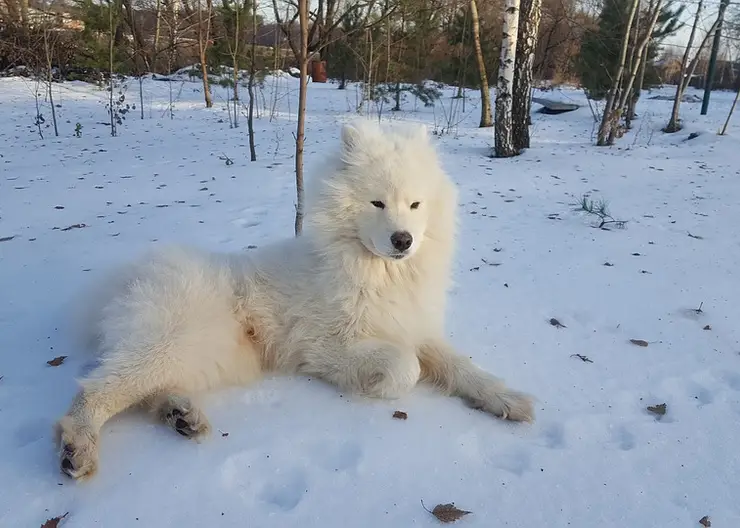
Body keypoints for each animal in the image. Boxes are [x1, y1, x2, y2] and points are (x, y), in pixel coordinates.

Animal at [55, 118, 536, 478]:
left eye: (415, 205)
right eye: (377, 203)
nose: (403, 240)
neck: (380, 275)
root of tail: (123, 279)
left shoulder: (415, 327)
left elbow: (463, 367)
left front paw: (507, 399)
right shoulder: (326, 344)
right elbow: (405, 368)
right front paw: (375, 384)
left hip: (208, 356)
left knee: (145, 391)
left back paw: (181, 415)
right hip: (177, 340)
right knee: (96, 389)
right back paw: (78, 445)